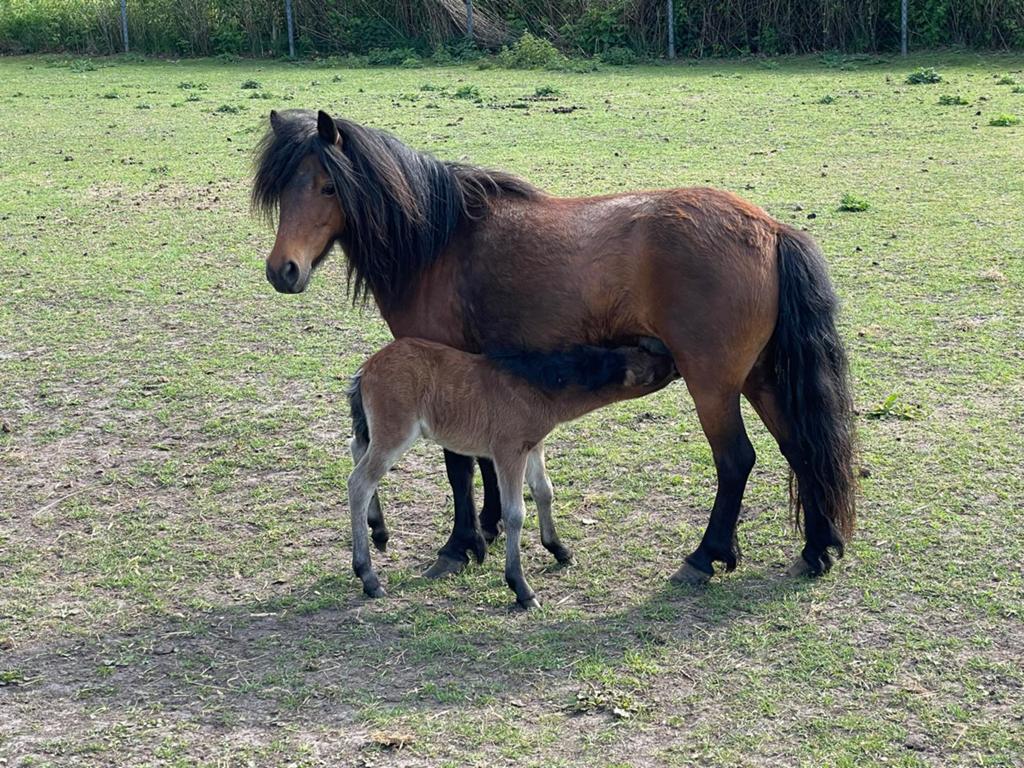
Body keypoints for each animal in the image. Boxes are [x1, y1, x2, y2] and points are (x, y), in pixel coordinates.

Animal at [347, 337, 679, 608]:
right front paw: (521, 588)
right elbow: (515, 513)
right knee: (359, 482)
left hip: (379, 433)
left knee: (356, 449)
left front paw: (559, 550)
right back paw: (368, 577)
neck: (537, 385)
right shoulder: (508, 452)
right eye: (651, 366)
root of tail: (364, 369)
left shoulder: (532, 446)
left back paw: (379, 531)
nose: (675, 361)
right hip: (396, 432)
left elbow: (544, 491)